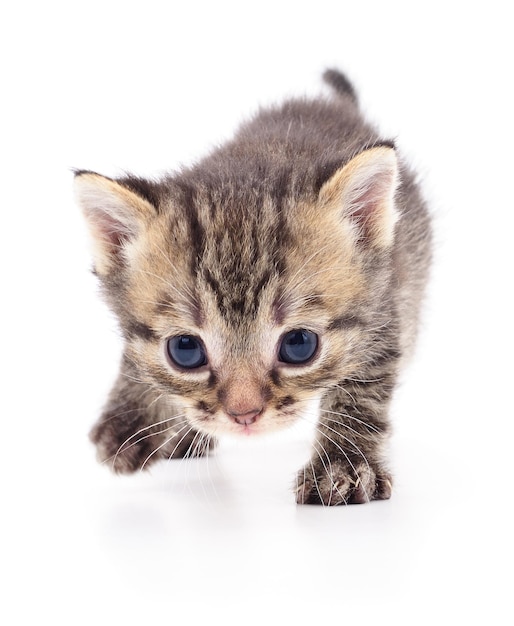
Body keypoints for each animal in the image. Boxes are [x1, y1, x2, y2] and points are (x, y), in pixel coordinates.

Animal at [74, 70, 430, 504]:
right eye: (184, 349)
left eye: (299, 344)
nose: (244, 415)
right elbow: (137, 359)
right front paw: (131, 417)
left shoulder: (384, 310)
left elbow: (362, 391)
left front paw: (342, 465)